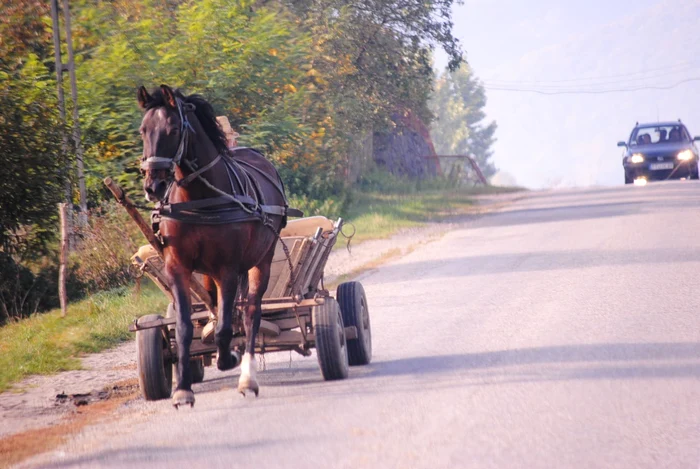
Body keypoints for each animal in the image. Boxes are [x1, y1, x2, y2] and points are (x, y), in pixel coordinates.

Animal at [137, 84, 292, 406]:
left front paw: (228, 357)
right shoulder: (178, 268)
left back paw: (247, 377)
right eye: (143, 130)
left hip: (262, 260)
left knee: (251, 313)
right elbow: (184, 327)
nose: (153, 187)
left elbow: (225, 326)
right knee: (215, 304)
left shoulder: (228, 269)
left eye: (172, 129)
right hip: (207, 271)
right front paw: (183, 388)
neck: (199, 201)